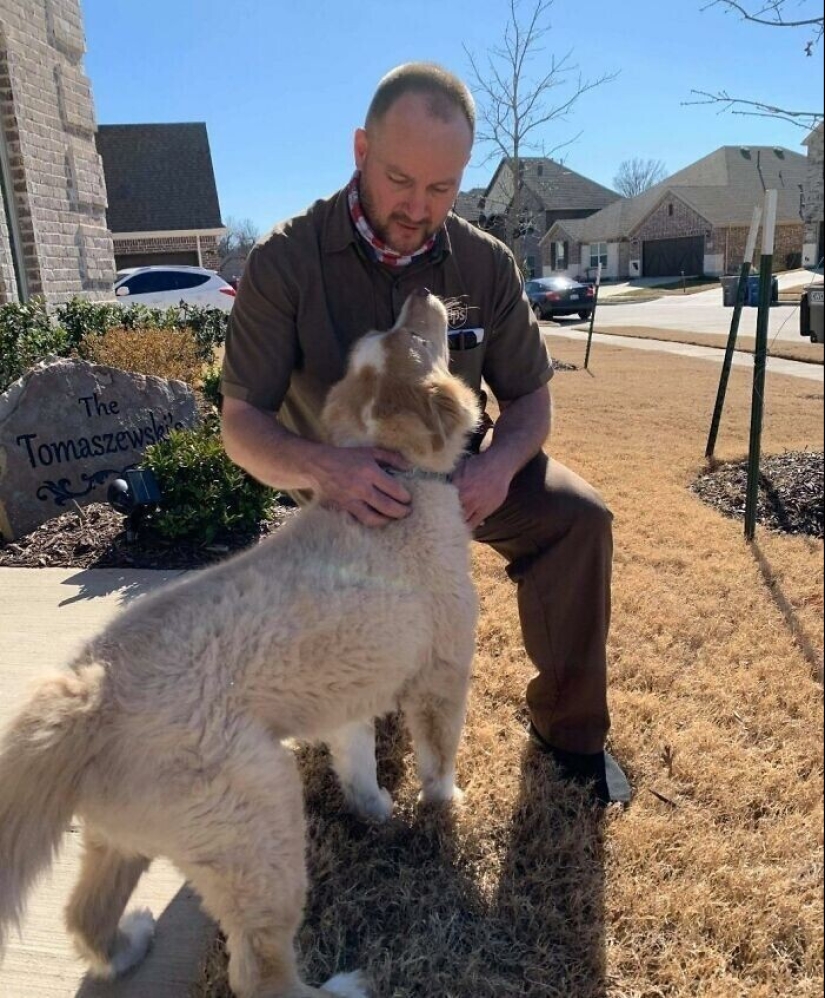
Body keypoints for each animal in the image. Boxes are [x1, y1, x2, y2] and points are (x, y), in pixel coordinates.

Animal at [0, 292, 480, 998]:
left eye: (393, 331)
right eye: (415, 338)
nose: (421, 294)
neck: (400, 478)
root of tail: (85, 695)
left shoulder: (349, 696)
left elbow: (356, 759)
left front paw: (373, 808)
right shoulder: (442, 673)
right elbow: (438, 756)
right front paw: (445, 806)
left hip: (120, 834)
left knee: (83, 914)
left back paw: (127, 946)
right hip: (257, 818)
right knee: (258, 974)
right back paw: (340, 989)